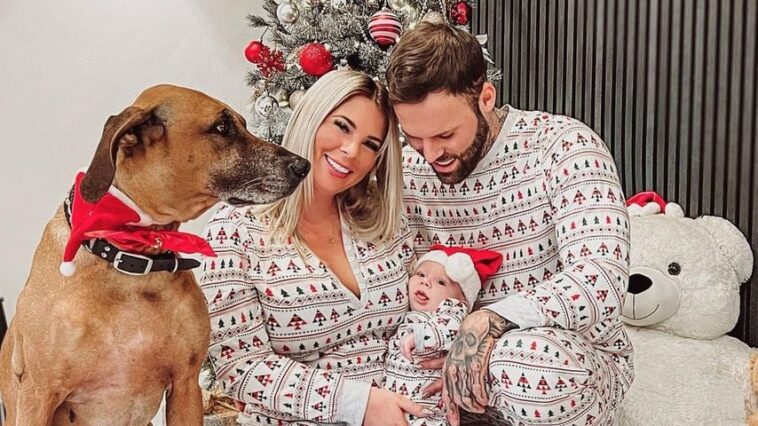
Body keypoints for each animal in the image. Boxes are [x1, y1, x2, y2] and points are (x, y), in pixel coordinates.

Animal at [0, 84, 309, 425]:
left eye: (242, 123)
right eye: (222, 127)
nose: (303, 166)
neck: (132, 258)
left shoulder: (186, 385)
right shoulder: (38, 396)